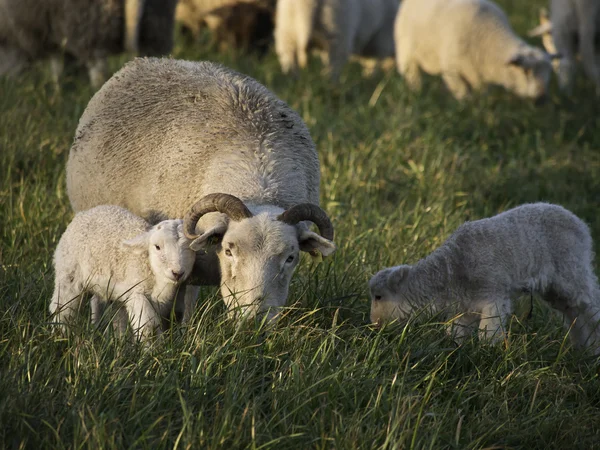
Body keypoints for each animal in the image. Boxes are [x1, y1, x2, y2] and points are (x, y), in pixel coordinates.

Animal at [49, 206, 195, 340]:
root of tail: (86, 213)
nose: (177, 273)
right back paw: (60, 336)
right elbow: (147, 327)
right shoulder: (136, 293)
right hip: (68, 274)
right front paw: (149, 351)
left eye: (191, 248)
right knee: (62, 308)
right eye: (157, 247)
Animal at [67, 57, 338, 324]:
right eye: (229, 250)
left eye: (290, 258)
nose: (253, 320)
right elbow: (180, 308)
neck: (258, 183)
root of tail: (144, 60)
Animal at [368, 204, 600, 356]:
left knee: (591, 305)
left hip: (572, 268)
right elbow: (456, 333)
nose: (374, 326)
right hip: (556, 289)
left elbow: (488, 333)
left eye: (378, 296)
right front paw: (455, 351)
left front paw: (488, 354)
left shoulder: (493, 294)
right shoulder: (464, 306)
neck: (451, 270)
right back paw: (585, 350)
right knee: (574, 314)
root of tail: (581, 224)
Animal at [394, 0, 556, 101]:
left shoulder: (481, 77)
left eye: (549, 72)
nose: (542, 99)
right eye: (526, 71)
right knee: (412, 75)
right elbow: (464, 96)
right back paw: (416, 93)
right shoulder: (452, 71)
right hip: (406, 51)